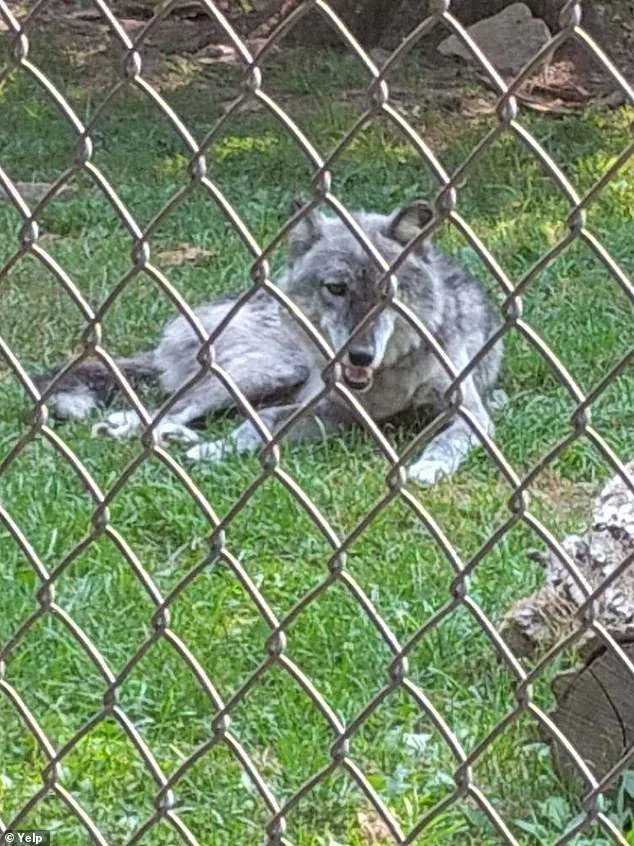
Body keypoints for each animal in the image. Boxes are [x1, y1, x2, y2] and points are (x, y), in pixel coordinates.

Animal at [35, 200, 503, 485]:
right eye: (336, 289)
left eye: (389, 295)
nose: (361, 354)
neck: (388, 378)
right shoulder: (331, 412)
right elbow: (259, 426)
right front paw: (217, 449)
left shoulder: (470, 415)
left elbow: (447, 440)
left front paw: (430, 467)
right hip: (266, 372)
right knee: (174, 406)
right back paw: (133, 426)